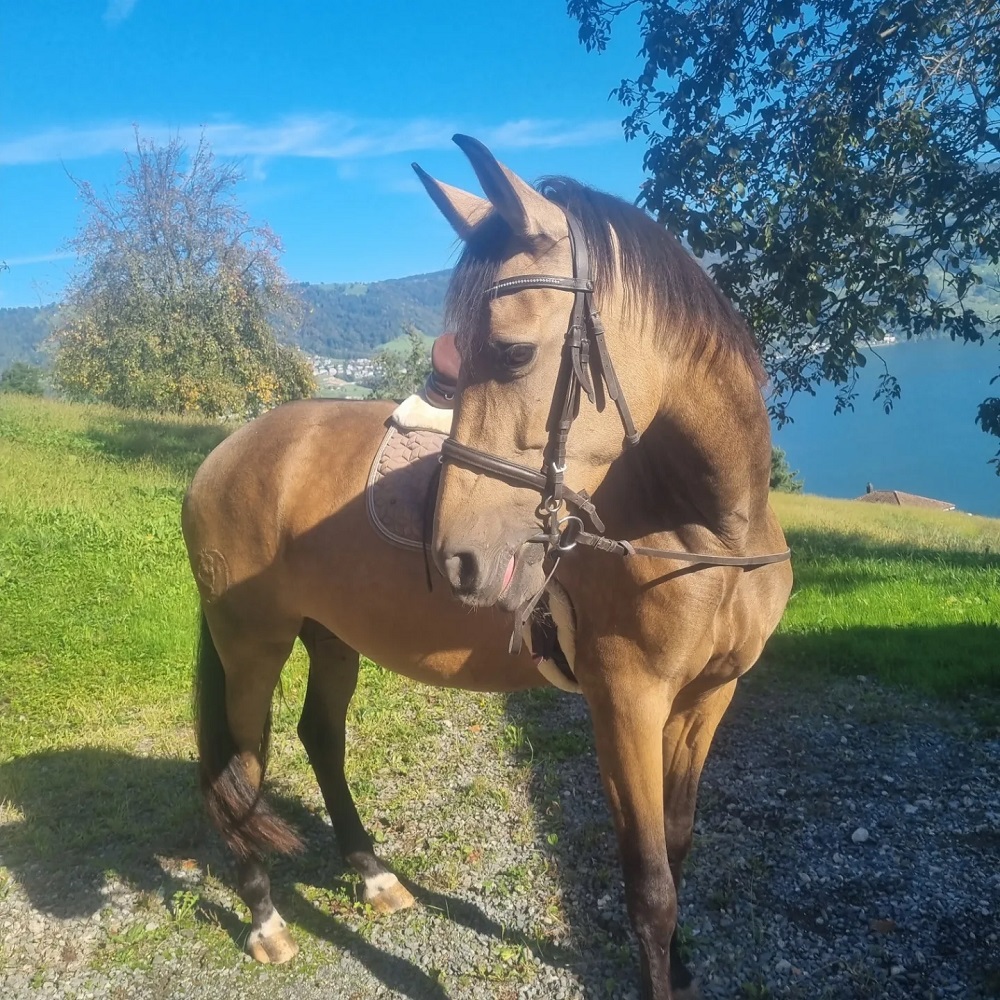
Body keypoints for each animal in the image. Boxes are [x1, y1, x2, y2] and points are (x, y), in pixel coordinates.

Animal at [182, 135, 793, 999]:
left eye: (510, 352)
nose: (457, 556)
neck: (708, 534)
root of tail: (224, 453)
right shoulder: (626, 703)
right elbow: (649, 885)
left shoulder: (706, 701)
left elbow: (677, 850)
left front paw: (682, 968)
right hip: (251, 646)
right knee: (242, 767)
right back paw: (266, 918)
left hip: (329, 637)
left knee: (319, 738)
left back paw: (373, 875)